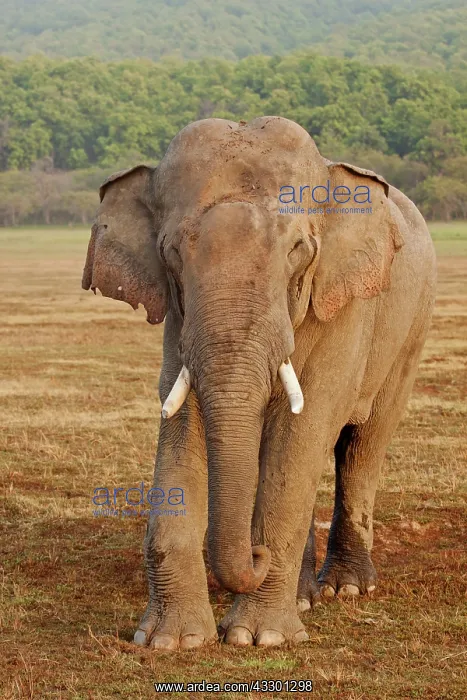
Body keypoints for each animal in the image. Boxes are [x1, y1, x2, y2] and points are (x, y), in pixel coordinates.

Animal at [82, 116, 436, 650]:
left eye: (298, 251)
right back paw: (305, 597)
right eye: (170, 254)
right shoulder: (181, 322)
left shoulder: (344, 305)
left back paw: (347, 589)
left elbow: (307, 425)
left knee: (362, 443)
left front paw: (260, 638)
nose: (255, 557)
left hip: (410, 328)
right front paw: (171, 641)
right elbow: (182, 419)